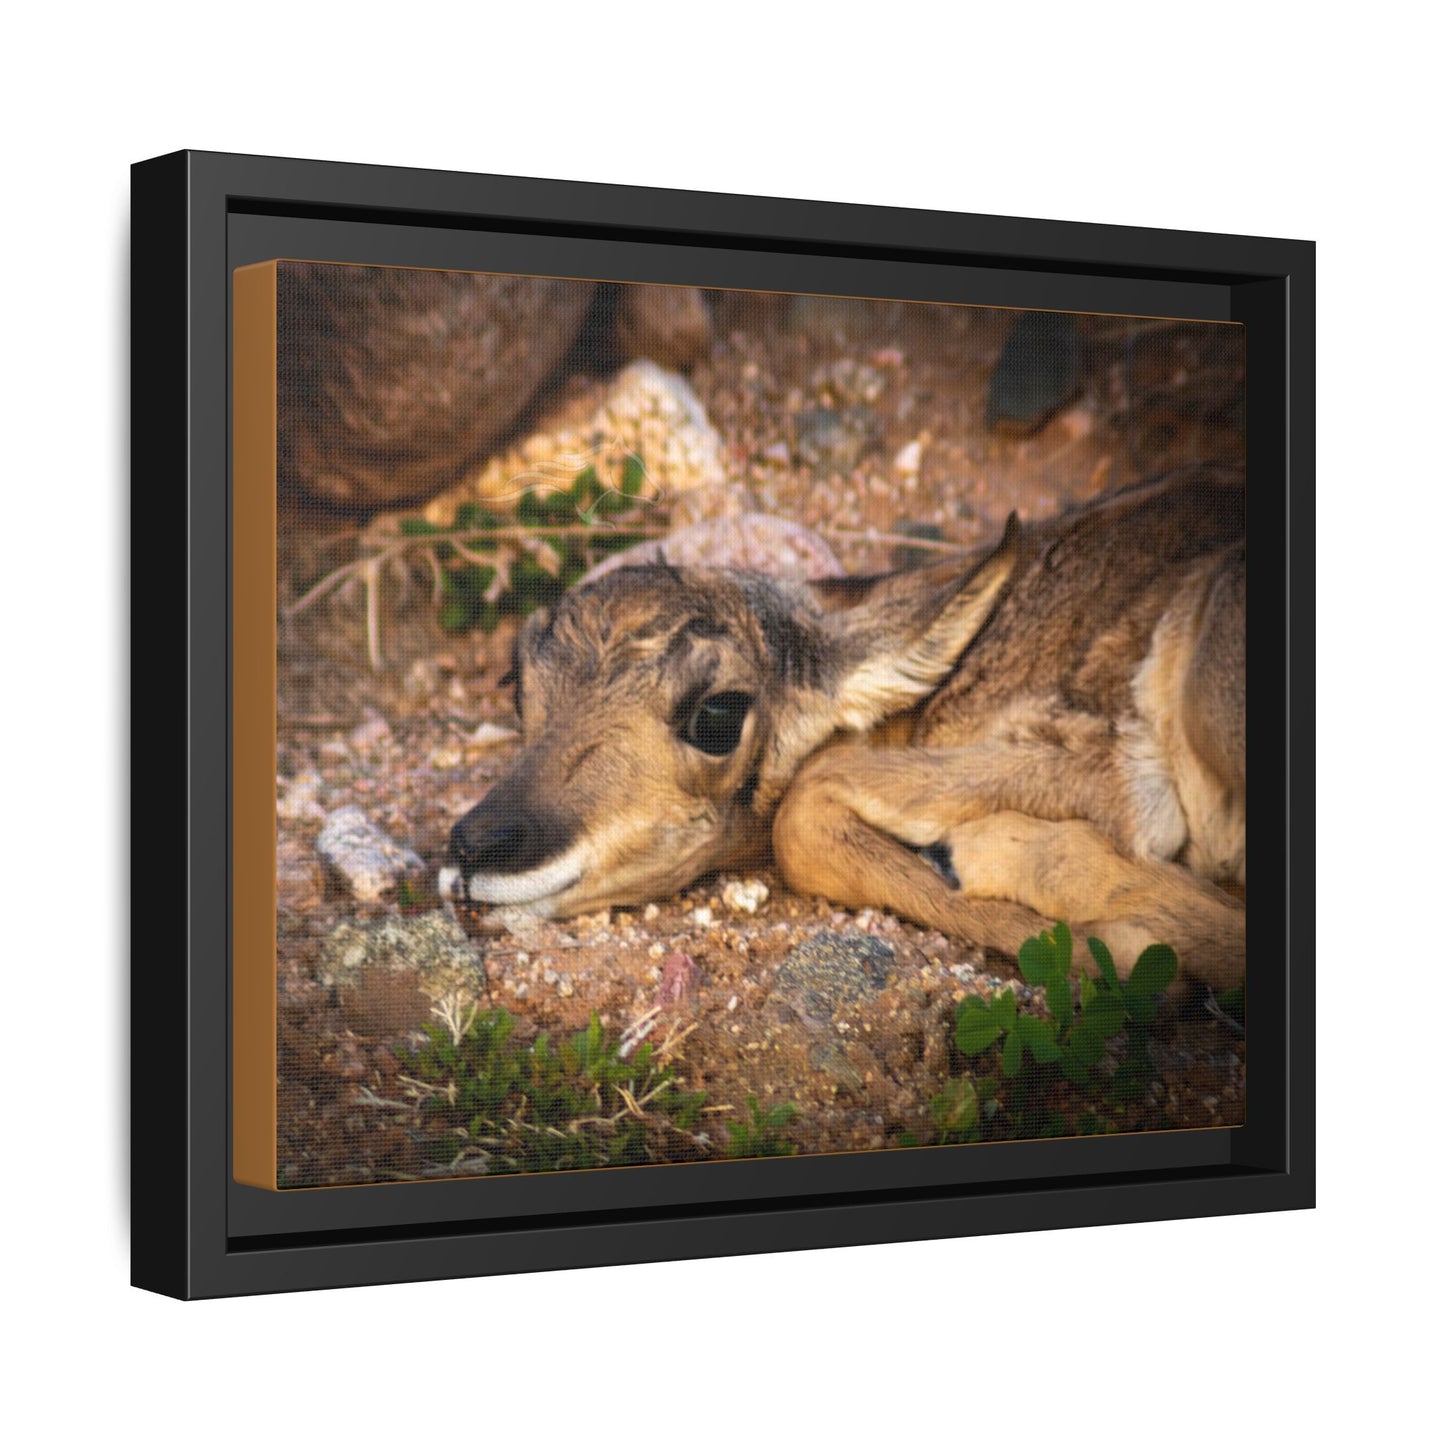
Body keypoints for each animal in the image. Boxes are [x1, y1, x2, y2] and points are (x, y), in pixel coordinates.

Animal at [440, 464, 1245, 987]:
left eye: (717, 713)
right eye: (518, 680)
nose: (476, 847)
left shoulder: (1111, 776)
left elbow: (804, 806)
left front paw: (1123, 953)